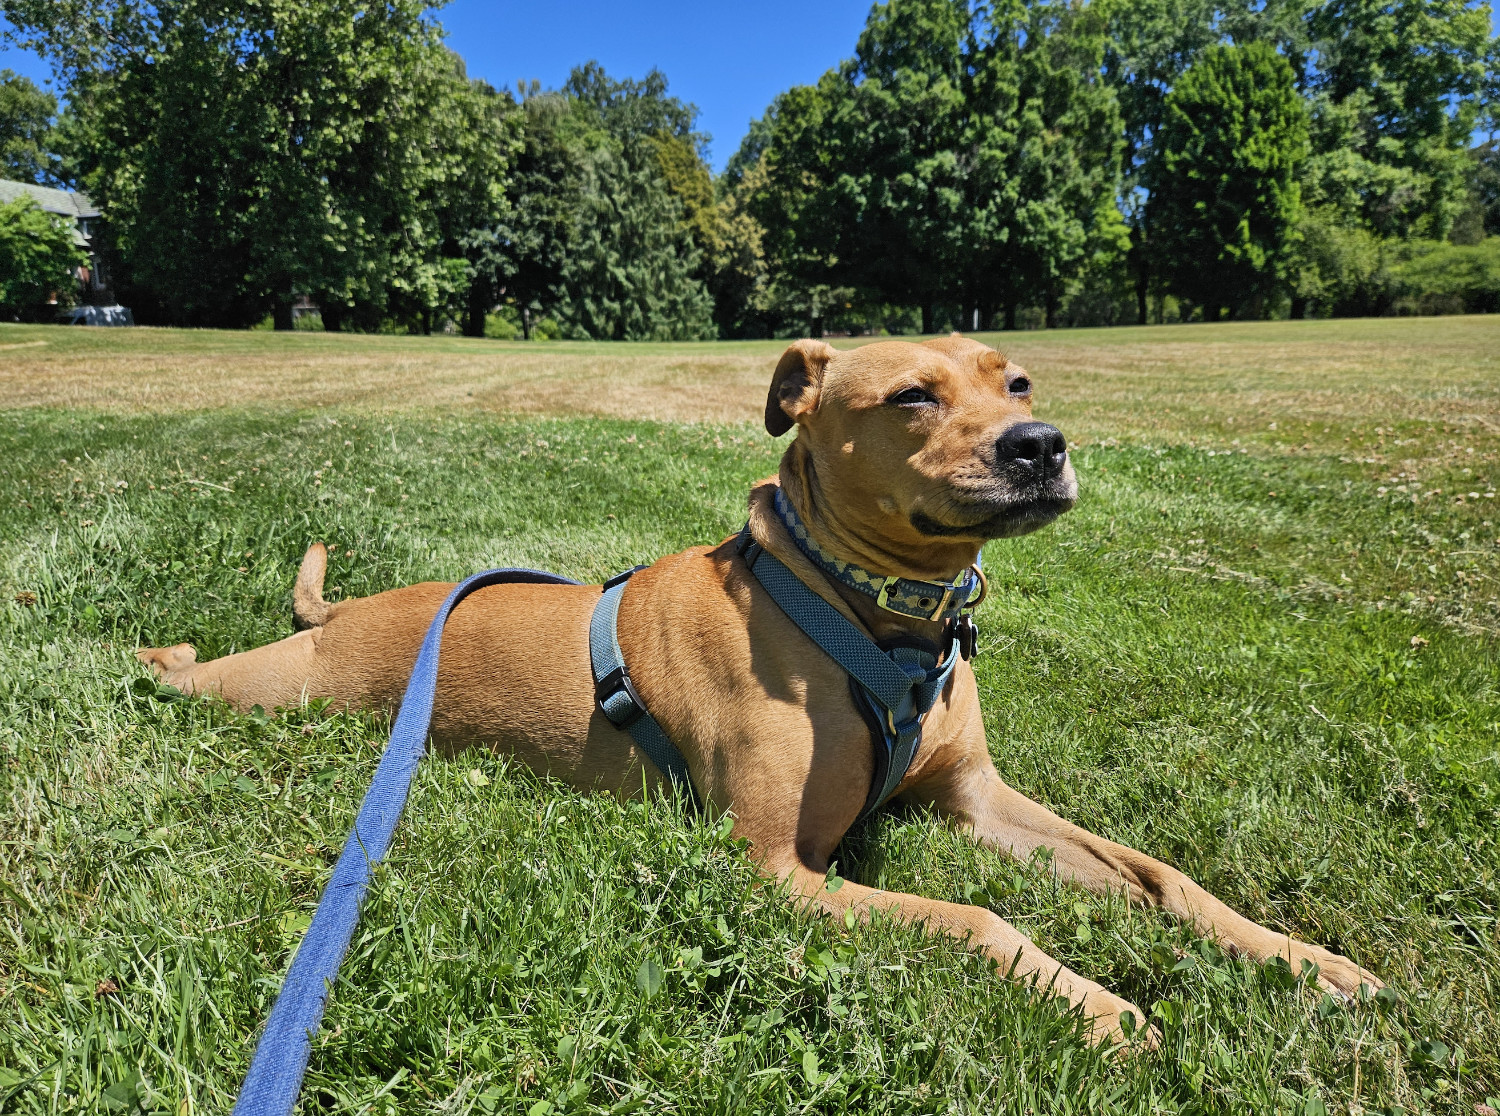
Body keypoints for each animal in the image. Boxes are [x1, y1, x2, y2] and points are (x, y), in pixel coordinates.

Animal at [141, 333, 1380, 1044]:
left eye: (1017, 380)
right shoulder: (778, 867)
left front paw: (1303, 961)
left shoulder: (974, 800)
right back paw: (160, 658)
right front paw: (1100, 1003)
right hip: (276, 689)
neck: (882, 618)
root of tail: (352, 613)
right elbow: (978, 919)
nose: (1042, 443)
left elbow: (1164, 876)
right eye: (913, 397)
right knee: (188, 672)